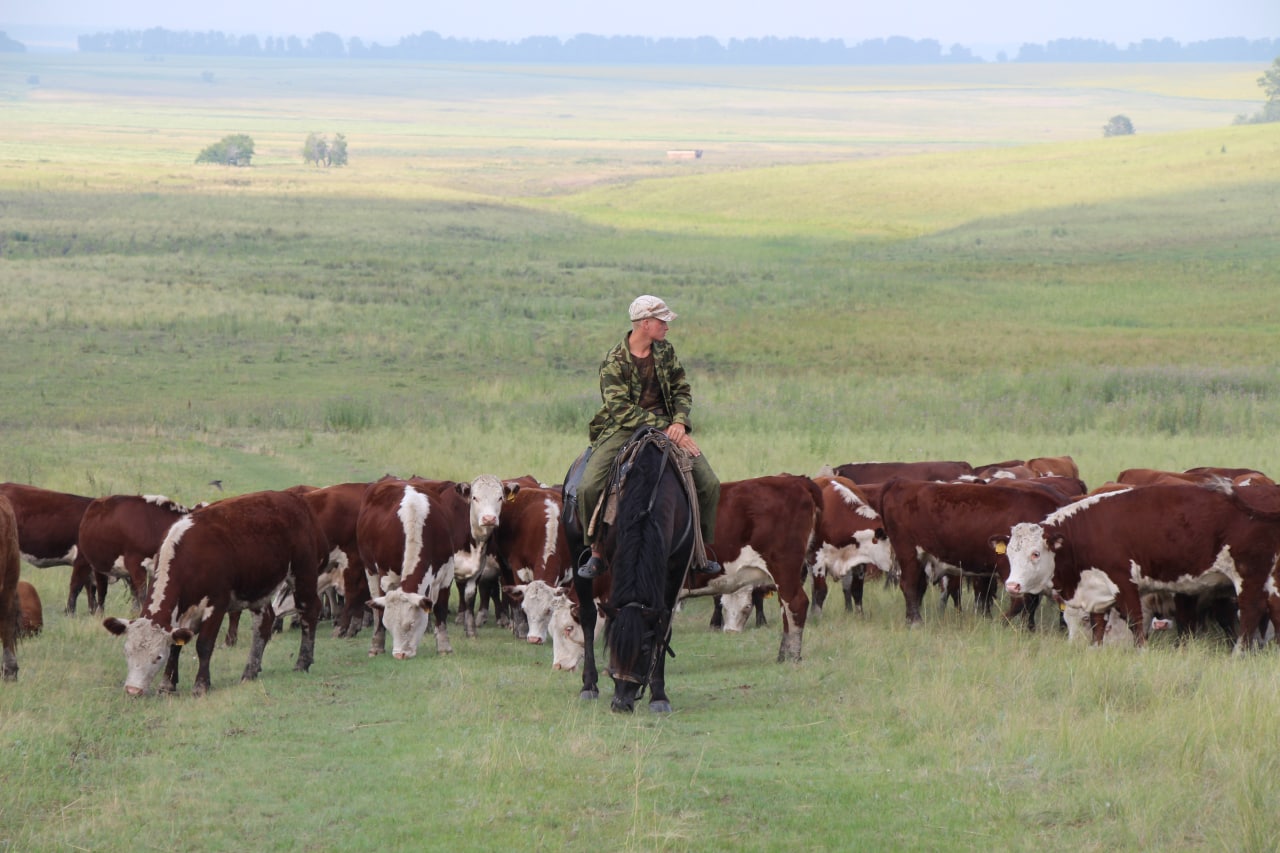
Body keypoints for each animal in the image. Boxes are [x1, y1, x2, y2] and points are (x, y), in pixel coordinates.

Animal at [103, 489, 327, 696]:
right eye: (127, 652)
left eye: (157, 656)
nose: (133, 690)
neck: (190, 556)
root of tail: (292, 497)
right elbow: (176, 646)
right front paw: (167, 685)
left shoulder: (216, 605)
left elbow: (204, 645)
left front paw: (201, 685)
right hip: (259, 589)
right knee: (263, 624)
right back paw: (250, 672)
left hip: (303, 573)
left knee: (309, 611)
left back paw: (303, 662)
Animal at [870, 479, 1070, 625]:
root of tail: (899, 483)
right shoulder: (1009, 568)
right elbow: (1022, 601)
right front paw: (1001, 624)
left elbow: (1030, 603)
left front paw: (1028, 629)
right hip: (909, 554)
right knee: (909, 585)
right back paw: (916, 622)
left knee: (918, 587)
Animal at [998, 481, 1280, 648]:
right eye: (1010, 554)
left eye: (1035, 554)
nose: (1012, 586)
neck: (1085, 534)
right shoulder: (1096, 590)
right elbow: (1099, 625)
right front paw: (1096, 650)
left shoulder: (1126, 583)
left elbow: (1135, 621)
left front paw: (1141, 651)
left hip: (1248, 575)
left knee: (1251, 611)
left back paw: (1239, 653)